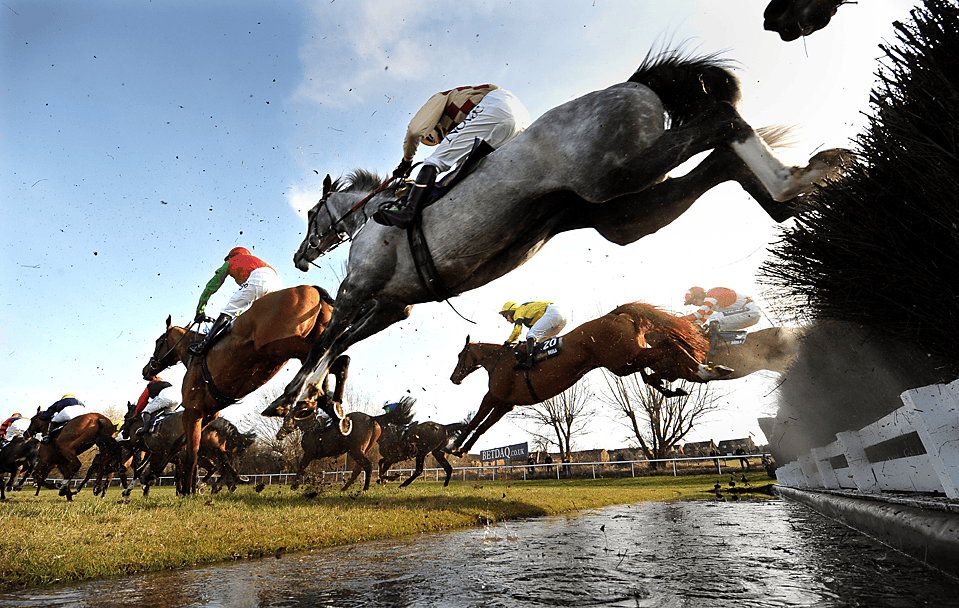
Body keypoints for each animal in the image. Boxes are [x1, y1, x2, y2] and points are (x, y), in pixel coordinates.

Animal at [142, 284, 349, 495]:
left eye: (159, 342)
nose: (147, 370)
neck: (193, 356)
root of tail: (309, 288)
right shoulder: (208, 413)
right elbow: (179, 444)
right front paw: (152, 475)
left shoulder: (193, 411)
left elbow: (191, 451)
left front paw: (186, 489)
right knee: (333, 363)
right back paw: (329, 406)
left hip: (284, 345)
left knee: (336, 358)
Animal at [269, 50, 851, 434]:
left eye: (311, 215)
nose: (299, 258)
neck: (371, 217)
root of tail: (633, 84)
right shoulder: (393, 305)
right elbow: (341, 344)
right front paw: (313, 402)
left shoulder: (360, 287)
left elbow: (326, 341)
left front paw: (292, 399)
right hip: (624, 212)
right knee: (723, 158)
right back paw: (798, 188)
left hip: (613, 174)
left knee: (721, 121)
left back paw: (793, 181)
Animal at [448, 302, 726, 456]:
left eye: (460, 355)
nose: (453, 378)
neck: (500, 361)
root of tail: (615, 314)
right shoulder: (506, 403)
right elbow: (483, 426)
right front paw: (461, 448)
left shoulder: (495, 395)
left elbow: (476, 422)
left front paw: (454, 447)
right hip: (627, 360)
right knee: (666, 355)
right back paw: (699, 373)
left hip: (622, 360)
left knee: (670, 346)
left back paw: (703, 370)